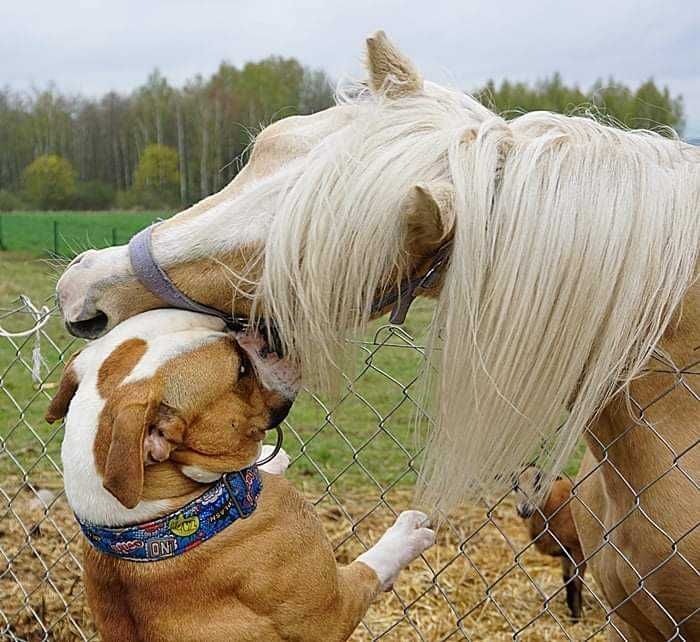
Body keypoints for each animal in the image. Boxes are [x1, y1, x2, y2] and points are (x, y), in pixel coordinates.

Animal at [46, 308, 432, 636]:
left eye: (216, 322)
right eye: (241, 370)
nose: (252, 328)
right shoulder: (331, 610)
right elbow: (372, 566)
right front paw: (406, 535)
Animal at [516, 464, 584, 620]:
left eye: (538, 485)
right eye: (515, 486)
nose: (524, 510)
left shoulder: (578, 549)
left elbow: (577, 581)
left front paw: (576, 616)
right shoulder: (566, 551)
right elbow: (567, 579)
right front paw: (571, 607)